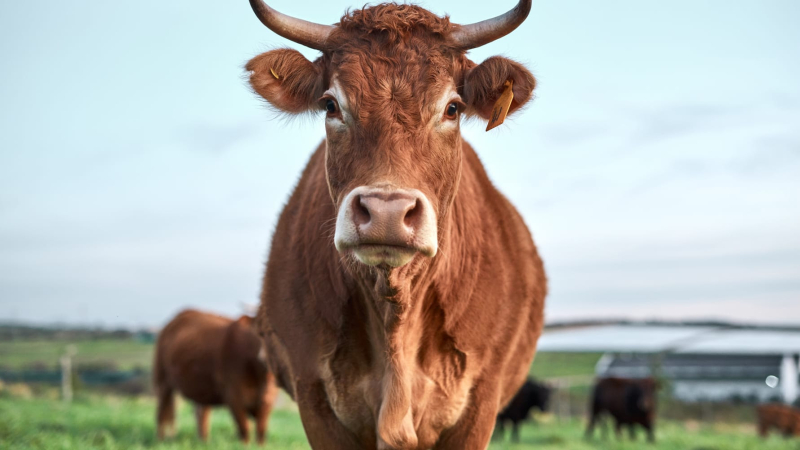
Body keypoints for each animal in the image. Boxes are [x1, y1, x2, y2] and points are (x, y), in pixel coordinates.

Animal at [152, 310, 278, 442]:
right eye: (261, 332)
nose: (266, 357)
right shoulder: (233, 397)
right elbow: (244, 430)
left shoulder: (268, 403)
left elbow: (261, 432)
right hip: (162, 380)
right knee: (161, 412)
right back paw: (160, 441)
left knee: (200, 414)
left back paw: (203, 441)